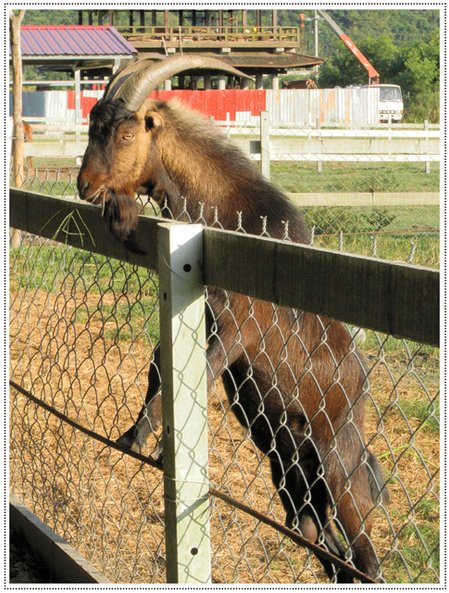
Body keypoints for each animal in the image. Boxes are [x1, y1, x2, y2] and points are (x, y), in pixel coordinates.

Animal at [76, 55, 384, 584]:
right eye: (93, 125)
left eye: (125, 134)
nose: (86, 186)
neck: (230, 218)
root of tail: (359, 390)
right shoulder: (200, 312)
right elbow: (159, 364)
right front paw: (135, 436)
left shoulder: (239, 327)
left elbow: (196, 372)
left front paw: (152, 443)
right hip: (290, 468)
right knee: (313, 532)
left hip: (339, 466)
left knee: (365, 552)